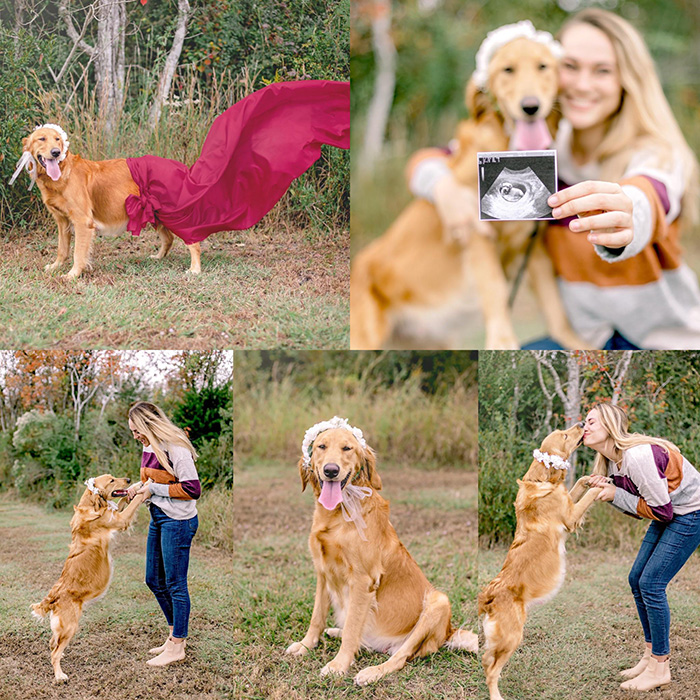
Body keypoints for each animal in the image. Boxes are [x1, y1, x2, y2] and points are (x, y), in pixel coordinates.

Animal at [17, 124, 201, 278]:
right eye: (41, 138)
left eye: (57, 139)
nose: (56, 152)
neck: (63, 173)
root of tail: (180, 166)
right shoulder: (62, 221)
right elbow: (62, 249)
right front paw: (56, 266)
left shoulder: (83, 222)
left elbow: (78, 253)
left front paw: (72, 275)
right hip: (156, 214)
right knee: (168, 238)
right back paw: (158, 257)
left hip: (172, 213)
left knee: (194, 241)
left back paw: (195, 269)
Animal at [31, 474, 150, 680]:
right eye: (111, 481)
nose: (128, 479)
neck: (92, 504)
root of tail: (53, 598)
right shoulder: (119, 520)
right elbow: (134, 502)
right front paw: (149, 484)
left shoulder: (116, 513)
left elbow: (124, 500)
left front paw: (138, 485)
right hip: (70, 626)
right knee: (54, 653)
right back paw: (60, 676)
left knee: (52, 643)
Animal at [288, 422, 478, 684]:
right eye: (321, 446)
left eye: (347, 448)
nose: (331, 470)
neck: (339, 513)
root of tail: (449, 632)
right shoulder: (323, 573)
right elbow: (317, 617)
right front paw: (306, 645)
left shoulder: (362, 581)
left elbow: (352, 630)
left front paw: (338, 665)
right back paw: (336, 631)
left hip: (438, 601)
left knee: (399, 657)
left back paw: (371, 672)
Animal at [350, 29, 584, 350]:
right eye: (507, 70)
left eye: (543, 66)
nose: (530, 106)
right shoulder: (476, 235)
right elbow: (495, 288)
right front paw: (502, 343)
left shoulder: (534, 250)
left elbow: (554, 307)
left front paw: (577, 343)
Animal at [478, 424, 604, 696]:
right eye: (565, 435)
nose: (581, 424)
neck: (541, 480)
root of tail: (489, 596)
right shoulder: (570, 516)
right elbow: (588, 497)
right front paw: (602, 484)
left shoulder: (568, 501)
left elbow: (579, 484)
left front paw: (590, 478)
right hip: (513, 636)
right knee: (491, 670)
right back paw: (497, 696)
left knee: (486, 660)